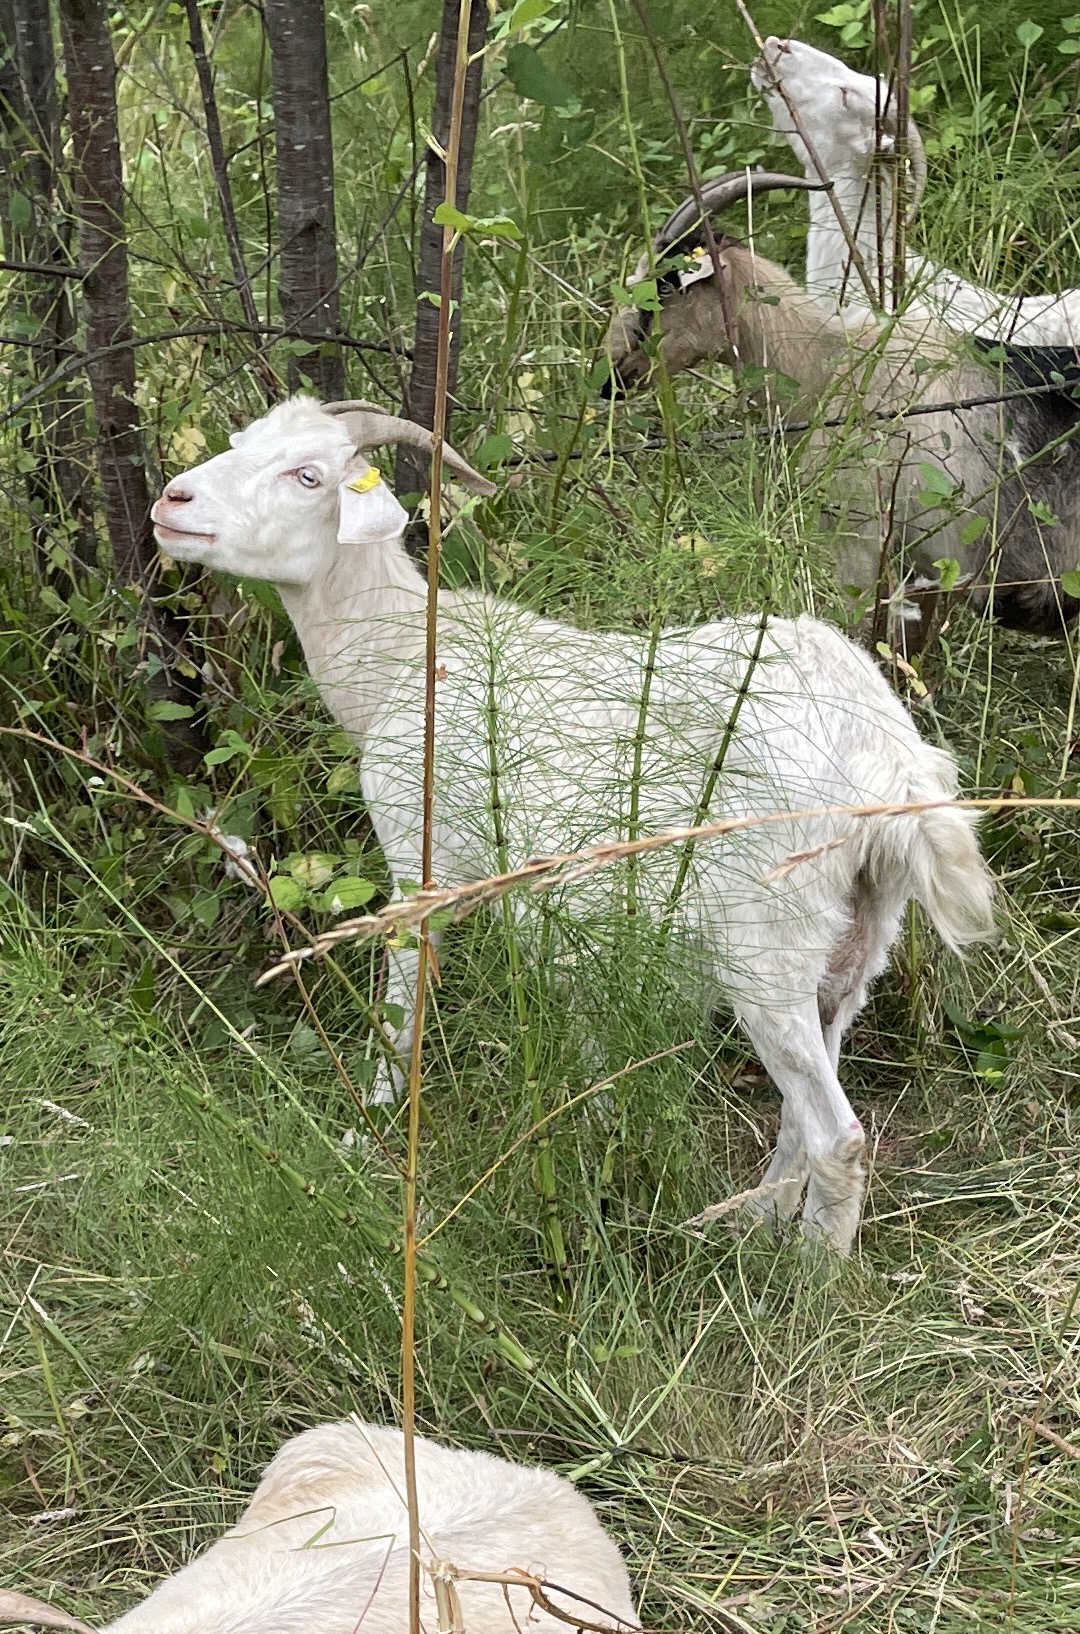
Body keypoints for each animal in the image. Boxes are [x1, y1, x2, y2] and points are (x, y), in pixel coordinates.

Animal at [148, 394, 994, 1252]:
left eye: (308, 475)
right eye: (242, 444)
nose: (172, 502)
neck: (404, 655)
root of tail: (886, 754)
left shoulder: (422, 856)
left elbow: (403, 1001)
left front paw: (372, 1127)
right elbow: (588, 1030)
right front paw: (597, 1131)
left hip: (767, 940)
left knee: (838, 1133)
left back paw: (811, 1268)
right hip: (858, 937)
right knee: (804, 1103)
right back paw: (752, 1220)